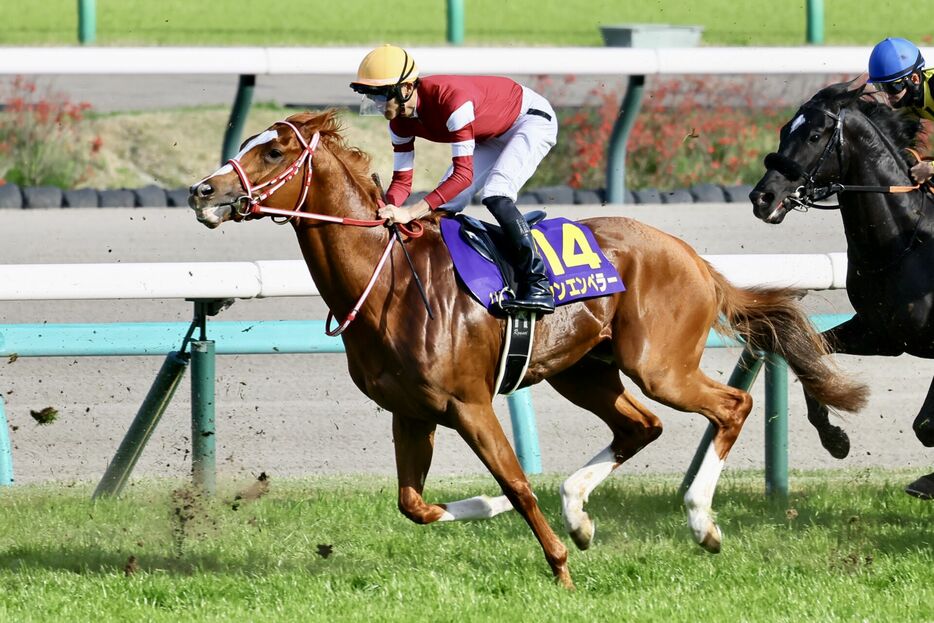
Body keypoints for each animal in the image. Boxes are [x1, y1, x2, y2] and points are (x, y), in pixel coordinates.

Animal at [190, 109, 872, 588]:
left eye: (273, 150)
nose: (202, 192)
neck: (389, 281)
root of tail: (694, 258)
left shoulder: (468, 403)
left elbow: (517, 483)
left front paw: (559, 565)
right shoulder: (411, 411)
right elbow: (413, 504)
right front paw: (493, 507)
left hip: (659, 365)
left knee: (730, 405)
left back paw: (701, 522)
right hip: (583, 371)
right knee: (640, 427)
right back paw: (579, 511)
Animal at [748, 81, 934, 502]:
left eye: (815, 135)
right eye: (784, 130)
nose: (762, 198)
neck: (902, 246)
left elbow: (926, 426)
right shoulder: (880, 333)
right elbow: (810, 357)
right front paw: (834, 439)